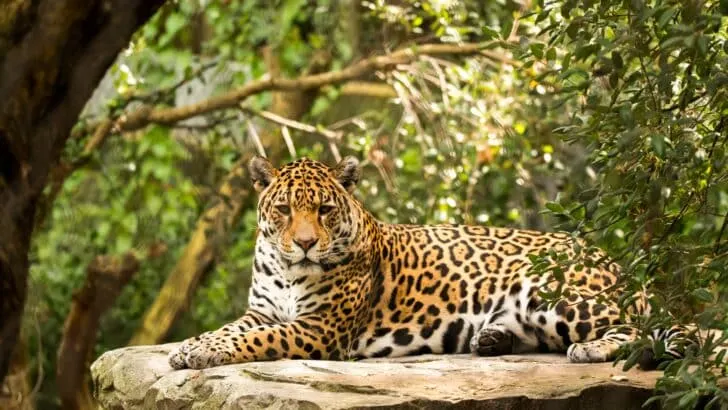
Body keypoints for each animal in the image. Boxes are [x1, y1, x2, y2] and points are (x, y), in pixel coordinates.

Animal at [168, 156, 701, 370]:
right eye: (283, 209)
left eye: (323, 210)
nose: (303, 243)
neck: (286, 268)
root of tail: (613, 260)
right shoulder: (261, 310)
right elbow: (231, 329)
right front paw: (191, 346)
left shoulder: (319, 329)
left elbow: (256, 340)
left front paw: (200, 353)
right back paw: (492, 338)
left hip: (552, 292)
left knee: (649, 328)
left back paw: (589, 350)